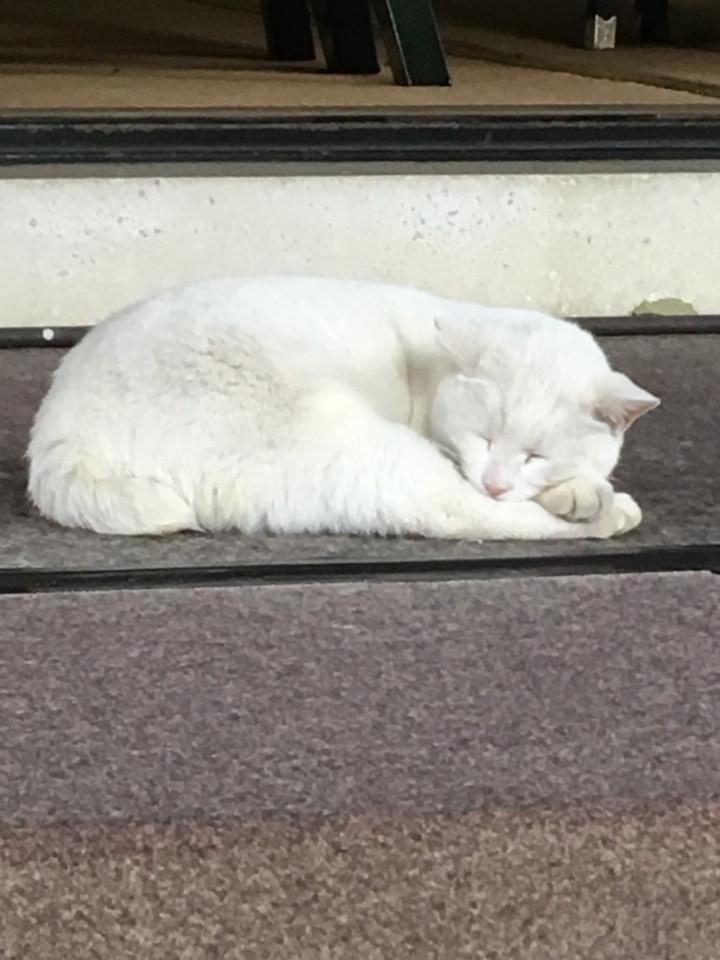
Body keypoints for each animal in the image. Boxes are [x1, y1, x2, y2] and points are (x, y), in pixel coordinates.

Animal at [26, 276, 660, 540]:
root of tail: (60, 434)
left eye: (536, 455)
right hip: (357, 447)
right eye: (482, 436)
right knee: (456, 513)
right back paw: (610, 516)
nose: (498, 481)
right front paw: (586, 499)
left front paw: (574, 489)